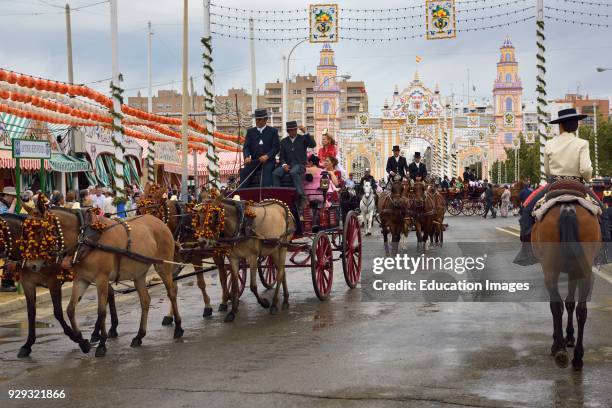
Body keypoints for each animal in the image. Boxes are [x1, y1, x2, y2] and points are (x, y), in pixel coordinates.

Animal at [25, 204, 182, 356]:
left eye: (39, 231)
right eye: (26, 232)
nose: (30, 265)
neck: (85, 238)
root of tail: (161, 222)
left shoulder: (101, 278)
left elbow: (101, 311)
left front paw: (101, 344)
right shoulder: (82, 279)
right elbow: (70, 309)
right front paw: (82, 342)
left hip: (163, 265)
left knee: (172, 292)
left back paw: (178, 327)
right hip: (139, 273)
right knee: (145, 300)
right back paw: (139, 336)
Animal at [532, 202, 604, 372]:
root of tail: (567, 207)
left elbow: (559, 305)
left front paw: (560, 340)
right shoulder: (573, 271)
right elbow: (570, 303)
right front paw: (570, 337)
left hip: (550, 269)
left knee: (556, 306)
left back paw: (560, 349)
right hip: (582, 269)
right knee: (581, 311)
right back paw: (577, 357)